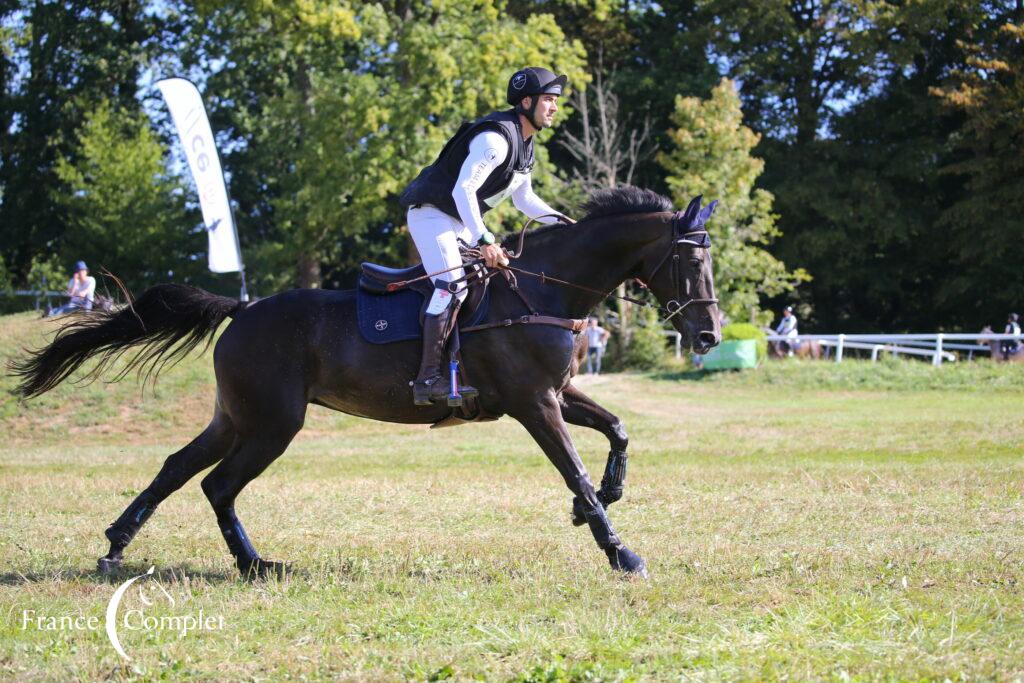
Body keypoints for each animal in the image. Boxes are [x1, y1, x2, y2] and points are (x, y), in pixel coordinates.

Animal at [12, 188, 724, 581]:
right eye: (691, 262)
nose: (710, 335)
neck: (542, 290)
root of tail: (243, 308)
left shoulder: (558, 394)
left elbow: (617, 430)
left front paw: (600, 499)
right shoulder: (534, 404)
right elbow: (573, 466)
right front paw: (619, 551)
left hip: (237, 417)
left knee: (178, 467)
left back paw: (118, 547)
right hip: (274, 422)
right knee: (218, 484)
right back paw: (252, 565)